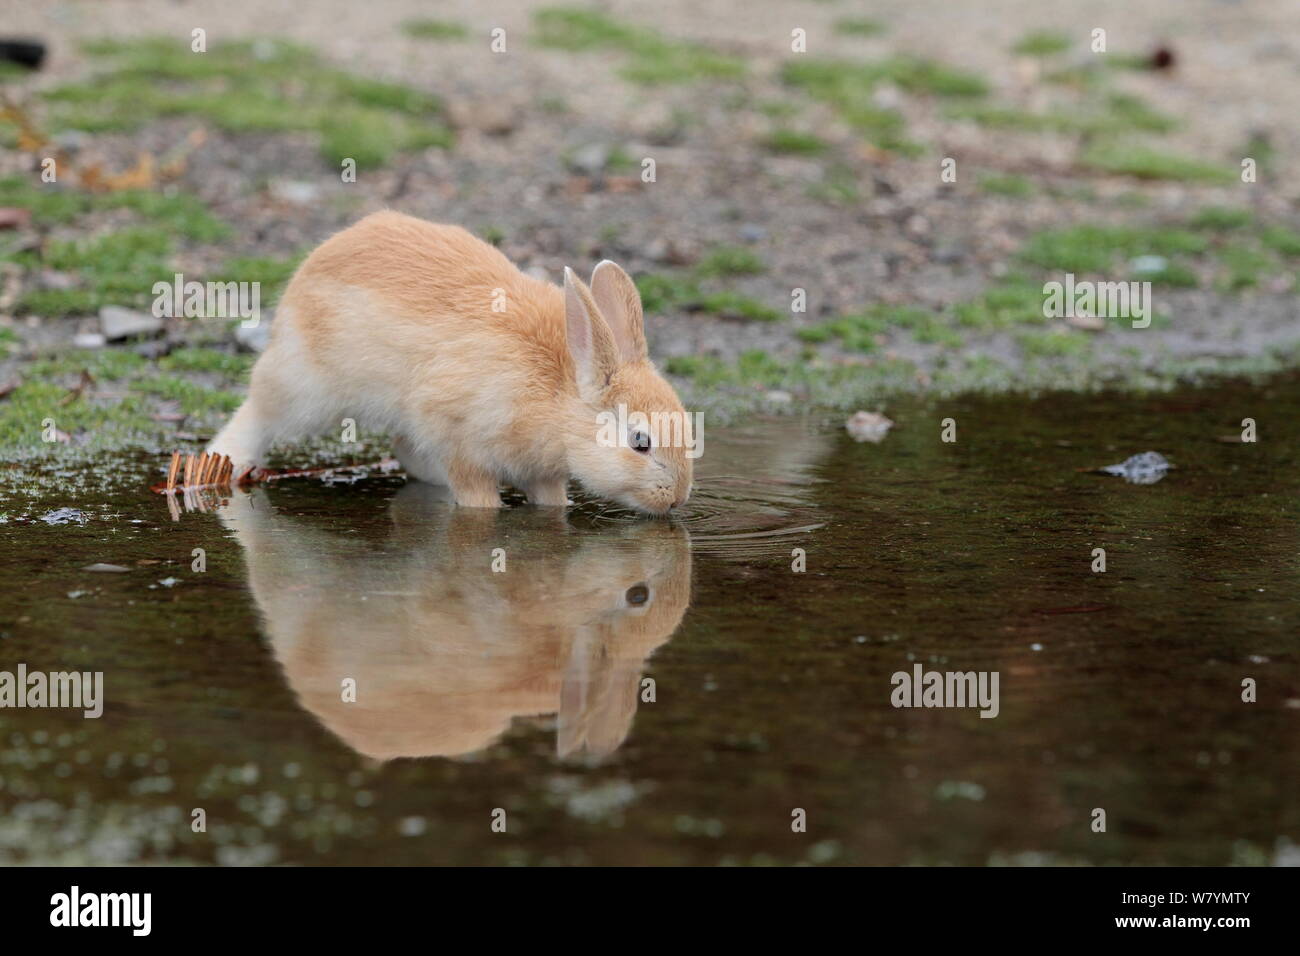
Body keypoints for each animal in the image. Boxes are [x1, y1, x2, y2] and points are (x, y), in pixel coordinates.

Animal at [211, 210, 696, 515]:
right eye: (640, 442)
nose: (676, 498)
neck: (559, 395)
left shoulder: (542, 474)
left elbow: (551, 499)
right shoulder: (460, 440)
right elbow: (477, 495)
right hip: (305, 389)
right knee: (258, 414)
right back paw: (225, 459)